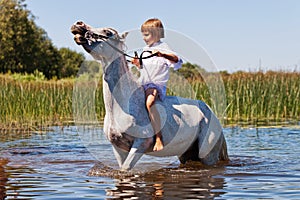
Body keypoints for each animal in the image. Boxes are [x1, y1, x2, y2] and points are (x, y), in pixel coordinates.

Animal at [71, 21, 229, 170]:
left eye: (108, 32)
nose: (78, 25)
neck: (121, 107)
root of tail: (213, 115)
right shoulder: (118, 147)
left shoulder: (140, 144)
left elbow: (126, 169)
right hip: (187, 153)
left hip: (208, 155)